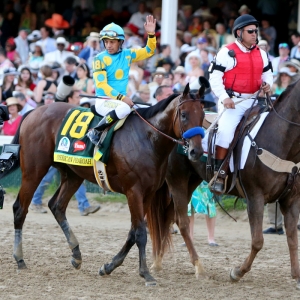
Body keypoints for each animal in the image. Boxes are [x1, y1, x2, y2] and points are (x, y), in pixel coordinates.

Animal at [9, 84, 206, 286]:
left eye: (202, 115)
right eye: (184, 114)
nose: (196, 151)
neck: (147, 138)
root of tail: (35, 111)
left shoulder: (148, 192)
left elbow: (133, 232)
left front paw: (109, 266)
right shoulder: (134, 191)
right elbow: (140, 233)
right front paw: (145, 273)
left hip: (73, 174)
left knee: (57, 206)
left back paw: (76, 254)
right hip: (34, 170)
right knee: (20, 209)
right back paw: (20, 258)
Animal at [148, 79, 300, 288]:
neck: (280, 139)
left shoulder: (291, 200)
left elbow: (292, 238)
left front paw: (297, 277)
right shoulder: (255, 197)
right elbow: (258, 241)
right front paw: (237, 272)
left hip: (190, 181)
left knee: (169, 218)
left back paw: (157, 262)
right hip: (177, 180)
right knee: (182, 222)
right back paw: (198, 267)